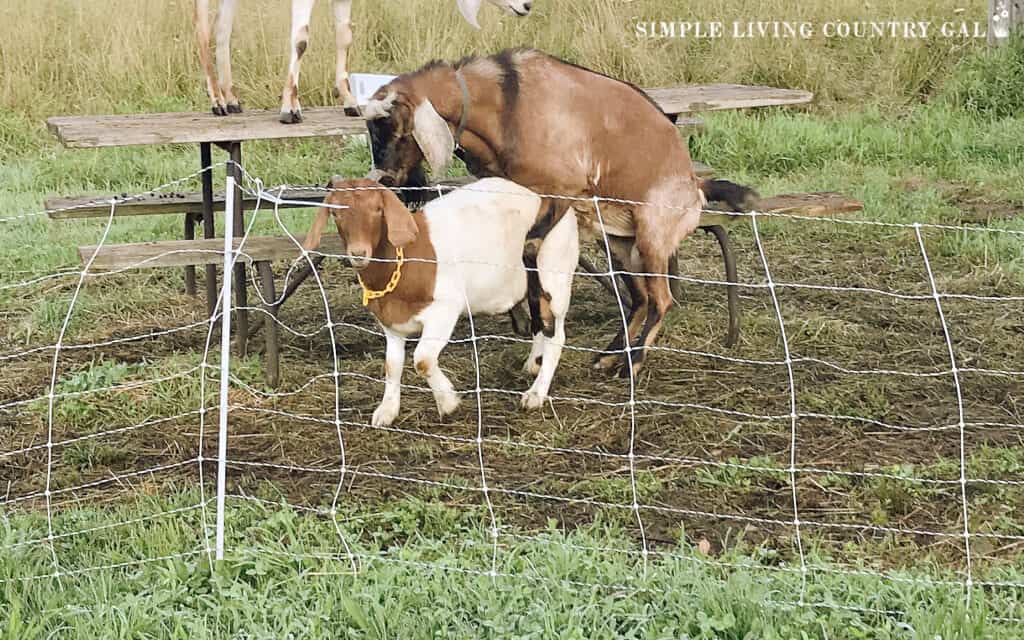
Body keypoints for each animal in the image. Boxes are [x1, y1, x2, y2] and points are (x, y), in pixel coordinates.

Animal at [190, 0, 536, 122]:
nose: (527, 5)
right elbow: (301, 38)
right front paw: (290, 109)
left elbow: (344, 34)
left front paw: (351, 103)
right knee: (203, 29)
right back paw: (217, 103)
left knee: (221, 29)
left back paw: (232, 101)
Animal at [301, 176, 577, 423]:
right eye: (335, 214)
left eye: (378, 209)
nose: (358, 254)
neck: (405, 259)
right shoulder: (391, 323)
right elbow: (392, 365)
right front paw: (387, 411)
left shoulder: (444, 310)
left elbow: (422, 360)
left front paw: (448, 402)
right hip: (533, 286)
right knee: (540, 323)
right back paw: (533, 364)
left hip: (556, 275)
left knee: (556, 335)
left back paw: (536, 394)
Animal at [364, 51, 757, 378]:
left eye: (398, 129)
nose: (387, 180)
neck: (506, 104)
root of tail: (696, 186)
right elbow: (527, 264)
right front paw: (535, 339)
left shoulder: (561, 193)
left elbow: (530, 254)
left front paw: (540, 335)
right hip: (617, 241)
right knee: (641, 297)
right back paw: (608, 356)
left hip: (653, 236)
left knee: (661, 299)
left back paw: (632, 363)